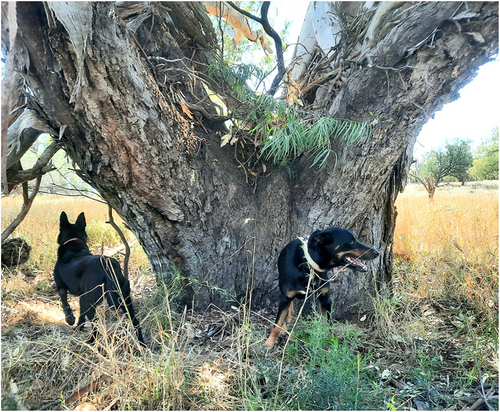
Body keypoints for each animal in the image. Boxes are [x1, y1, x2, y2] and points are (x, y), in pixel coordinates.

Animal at [55, 211, 145, 346]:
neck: (73, 243)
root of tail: (109, 266)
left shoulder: (61, 286)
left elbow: (65, 302)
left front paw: (70, 319)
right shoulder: (82, 296)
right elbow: (81, 313)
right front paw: (79, 327)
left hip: (92, 300)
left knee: (96, 324)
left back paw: (90, 341)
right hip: (124, 298)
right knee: (135, 321)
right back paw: (142, 343)